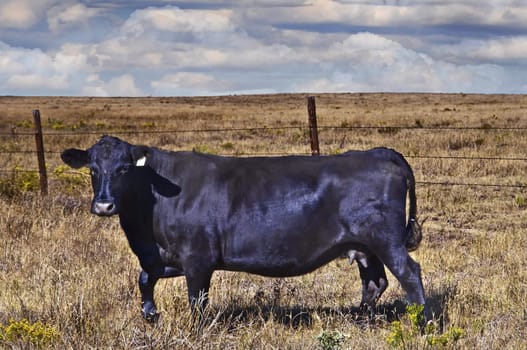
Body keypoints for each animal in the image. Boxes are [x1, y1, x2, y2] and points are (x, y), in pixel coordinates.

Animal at [59, 135, 426, 322]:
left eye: (124, 168)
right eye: (93, 169)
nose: (104, 205)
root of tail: (377, 153)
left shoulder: (198, 258)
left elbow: (197, 300)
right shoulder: (166, 257)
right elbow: (144, 279)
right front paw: (150, 313)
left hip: (385, 240)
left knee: (409, 274)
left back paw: (423, 321)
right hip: (364, 246)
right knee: (374, 282)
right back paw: (359, 318)